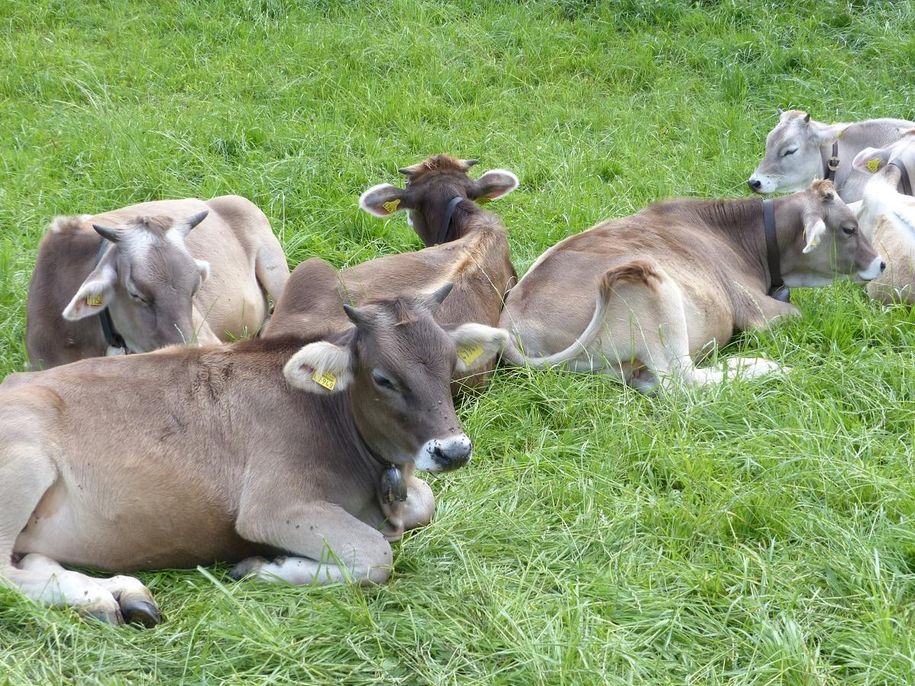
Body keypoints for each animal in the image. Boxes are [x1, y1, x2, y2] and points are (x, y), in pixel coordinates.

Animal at [500, 180, 888, 396]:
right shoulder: (757, 311)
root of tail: (513, 326)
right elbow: (796, 312)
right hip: (651, 289)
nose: (882, 264)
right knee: (680, 381)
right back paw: (766, 367)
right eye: (849, 228)